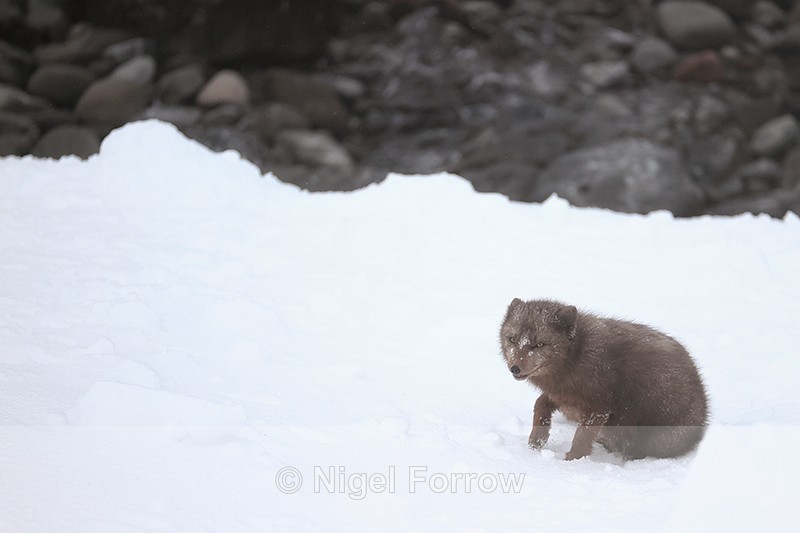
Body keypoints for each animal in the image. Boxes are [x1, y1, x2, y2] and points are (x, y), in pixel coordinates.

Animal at [500, 298, 708, 460]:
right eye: (512, 339)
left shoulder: (597, 409)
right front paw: (536, 441)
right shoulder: (562, 395)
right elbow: (540, 403)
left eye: (539, 345)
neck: (576, 357)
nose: (515, 368)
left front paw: (571, 462)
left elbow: (581, 438)